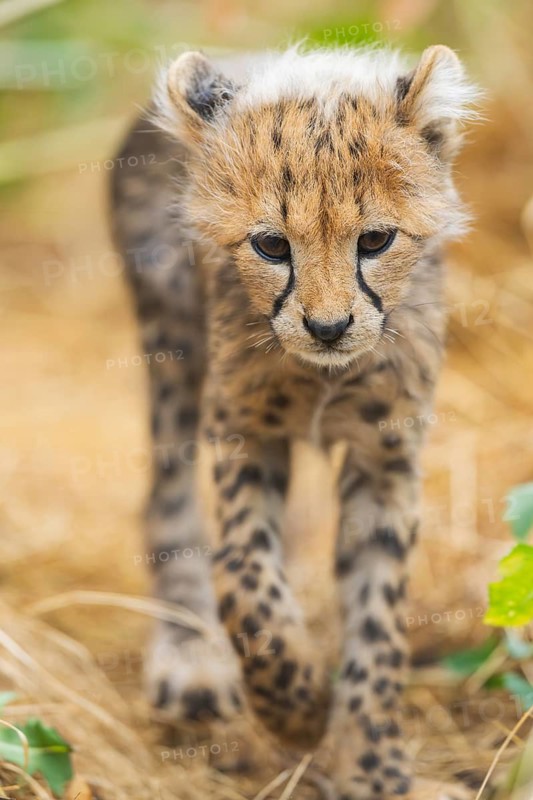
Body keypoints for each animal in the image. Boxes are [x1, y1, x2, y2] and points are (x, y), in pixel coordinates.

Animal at [110, 44, 479, 799]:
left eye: (376, 240)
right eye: (272, 247)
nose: (329, 327)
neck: (322, 377)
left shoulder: (385, 455)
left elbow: (378, 607)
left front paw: (369, 761)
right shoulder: (245, 432)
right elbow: (245, 579)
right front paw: (297, 707)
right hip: (171, 346)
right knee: (167, 500)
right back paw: (191, 656)